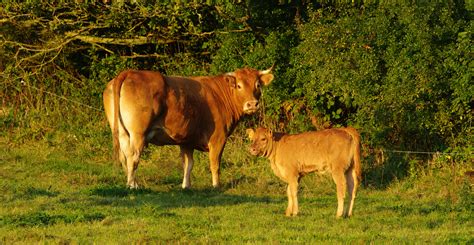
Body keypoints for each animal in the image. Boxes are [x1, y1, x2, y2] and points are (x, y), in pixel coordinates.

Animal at [103, 67, 274, 189]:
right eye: (239, 85)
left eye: (257, 85)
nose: (252, 104)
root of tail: (129, 72)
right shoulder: (218, 138)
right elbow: (215, 164)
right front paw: (216, 185)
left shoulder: (186, 140)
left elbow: (188, 164)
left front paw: (186, 186)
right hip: (138, 133)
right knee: (133, 156)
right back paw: (133, 185)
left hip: (123, 133)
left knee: (126, 155)